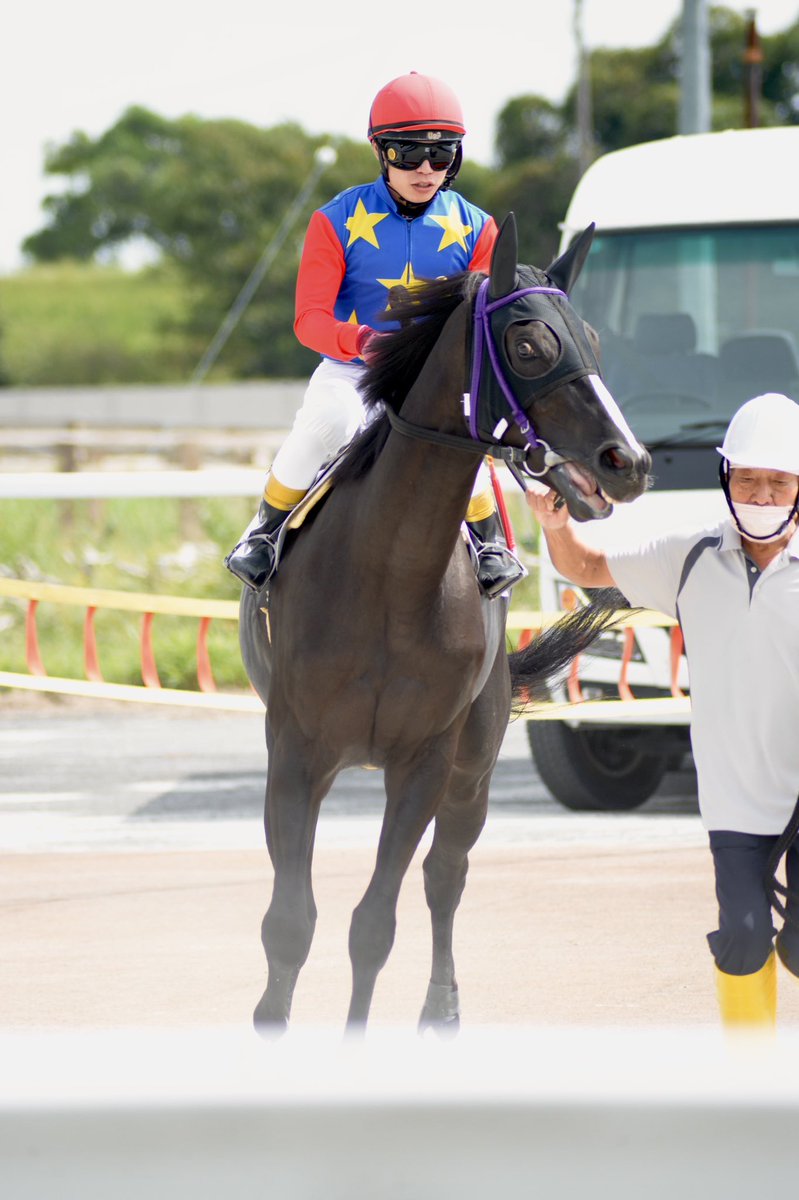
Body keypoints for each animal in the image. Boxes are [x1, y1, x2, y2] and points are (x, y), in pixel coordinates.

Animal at [239, 213, 652, 1033]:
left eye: (589, 335)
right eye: (530, 345)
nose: (628, 460)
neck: (389, 575)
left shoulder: (425, 761)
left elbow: (375, 923)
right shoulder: (294, 750)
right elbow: (289, 922)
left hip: (474, 765)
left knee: (445, 874)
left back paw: (440, 1009)